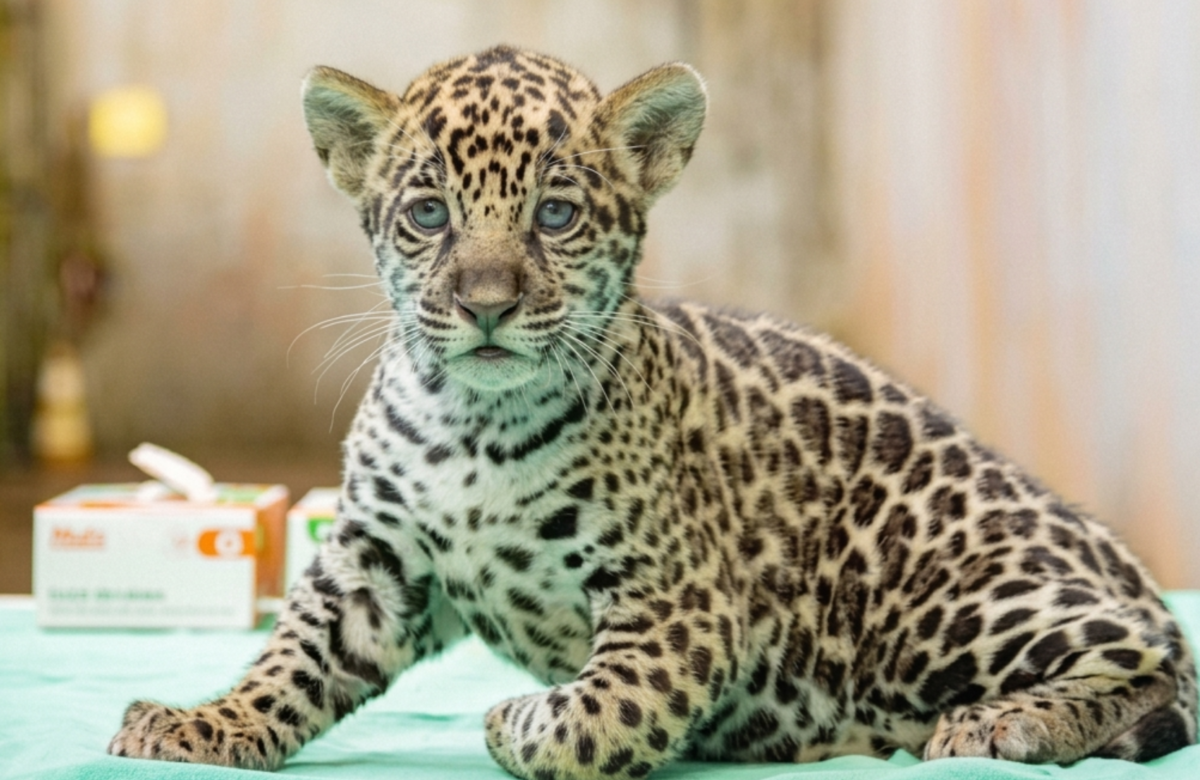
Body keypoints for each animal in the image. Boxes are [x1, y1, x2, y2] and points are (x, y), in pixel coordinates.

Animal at [108, 45, 1197, 778]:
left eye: (554, 214)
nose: (487, 303)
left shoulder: (675, 601)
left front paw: (513, 720)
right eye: (427, 214)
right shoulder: (376, 562)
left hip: (942, 598)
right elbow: (291, 658)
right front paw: (201, 725)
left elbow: (597, 719)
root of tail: (1119, 559)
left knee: (1153, 658)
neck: (472, 430)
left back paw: (1006, 722)